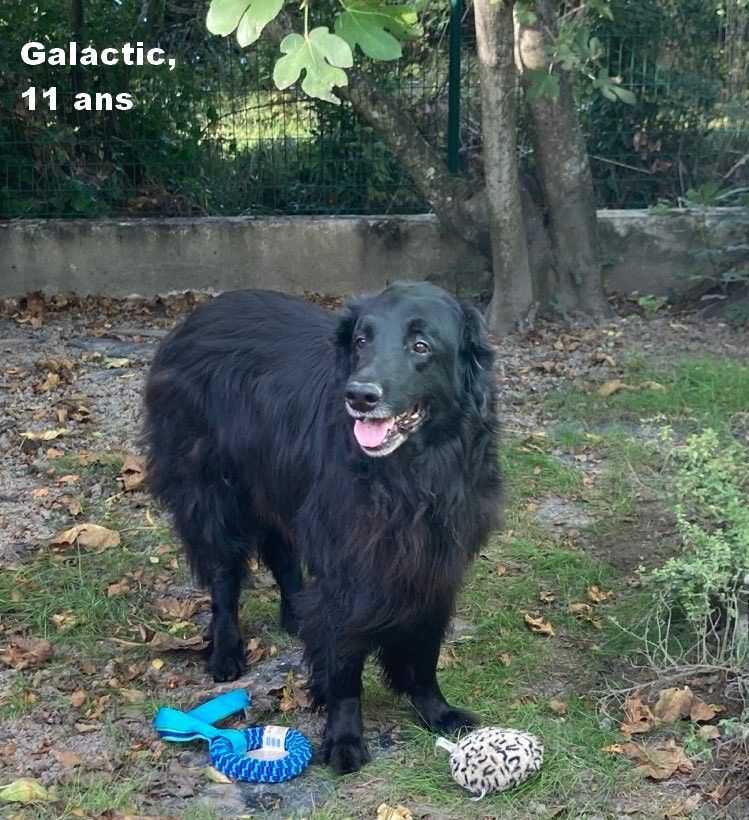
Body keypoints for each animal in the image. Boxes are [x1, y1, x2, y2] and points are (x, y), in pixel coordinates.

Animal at [144, 282, 501, 773]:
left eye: (421, 346)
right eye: (361, 341)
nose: (360, 395)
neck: (407, 477)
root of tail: (200, 313)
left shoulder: (436, 564)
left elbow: (425, 647)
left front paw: (435, 709)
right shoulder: (346, 567)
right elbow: (345, 660)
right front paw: (344, 735)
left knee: (283, 556)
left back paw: (296, 616)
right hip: (214, 495)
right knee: (223, 576)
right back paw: (227, 650)